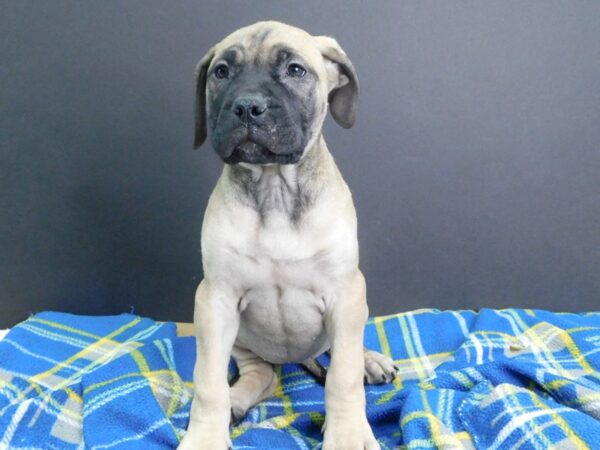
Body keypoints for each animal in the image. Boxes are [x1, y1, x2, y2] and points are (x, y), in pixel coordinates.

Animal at [180, 19, 400, 448]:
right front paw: (205, 436)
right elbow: (208, 382)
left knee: (347, 351)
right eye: (221, 72)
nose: (247, 107)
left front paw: (347, 433)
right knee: (262, 376)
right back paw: (237, 401)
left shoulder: (346, 293)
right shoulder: (215, 300)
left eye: (295, 70)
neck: (275, 190)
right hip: (243, 340)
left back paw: (371, 360)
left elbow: (343, 377)